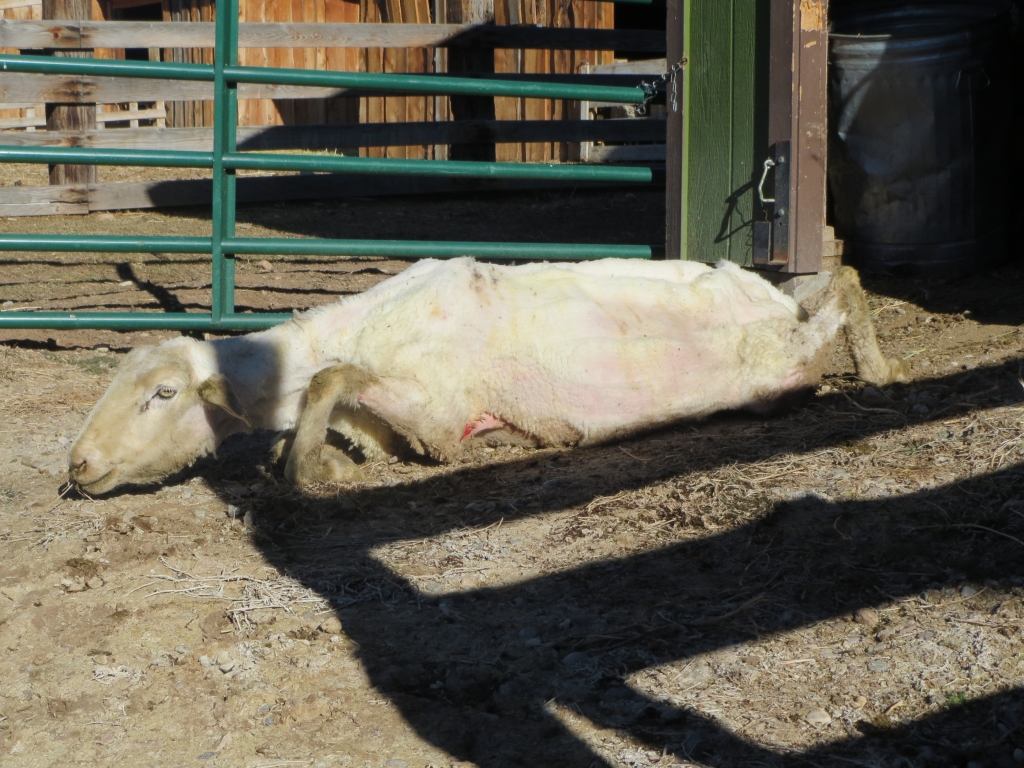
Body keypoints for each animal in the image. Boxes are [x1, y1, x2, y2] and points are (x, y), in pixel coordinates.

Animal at [68, 256, 909, 495]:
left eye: (163, 395)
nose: (76, 466)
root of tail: (761, 292)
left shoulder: (435, 414)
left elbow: (329, 381)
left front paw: (307, 470)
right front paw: (326, 457)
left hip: (783, 354)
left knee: (843, 286)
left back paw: (882, 367)